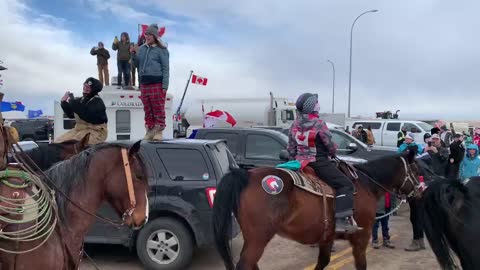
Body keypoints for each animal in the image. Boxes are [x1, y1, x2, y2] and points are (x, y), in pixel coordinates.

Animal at [214, 150, 420, 270]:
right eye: (416, 169)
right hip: (258, 237)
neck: (364, 184)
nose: (420, 190)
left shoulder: (327, 238)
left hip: (253, 238)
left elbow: (323, 262)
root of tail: (245, 175)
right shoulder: (361, 238)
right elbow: (361, 265)